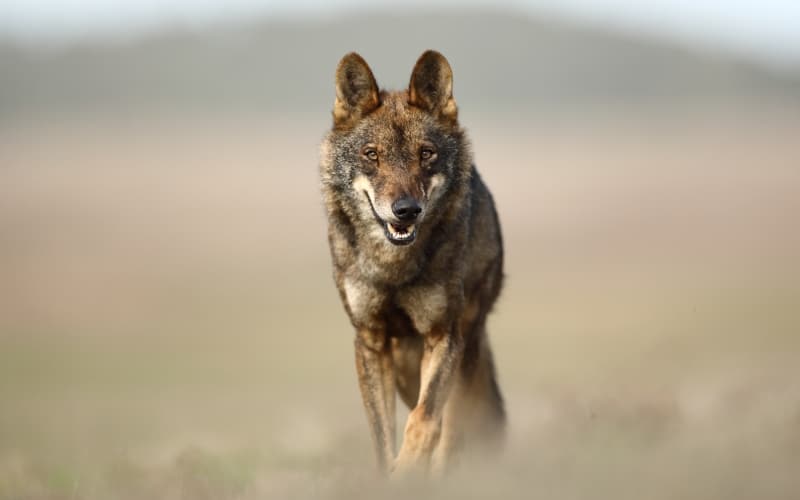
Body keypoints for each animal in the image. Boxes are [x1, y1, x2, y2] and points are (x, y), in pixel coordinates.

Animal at [319, 50, 505, 475]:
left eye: (426, 154)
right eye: (372, 155)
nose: (406, 210)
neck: (394, 268)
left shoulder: (443, 334)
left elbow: (425, 421)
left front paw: (408, 474)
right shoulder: (371, 342)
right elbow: (382, 436)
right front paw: (389, 475)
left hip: (464, 345)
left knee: (453, 424)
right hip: (406, 360)